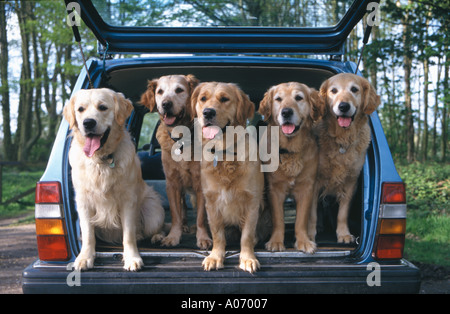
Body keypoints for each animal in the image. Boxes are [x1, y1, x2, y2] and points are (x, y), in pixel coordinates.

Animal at [63, 87, 165, 270]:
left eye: (103, 107)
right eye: (80, 109)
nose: (88, 123)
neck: (102, 160)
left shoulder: (128, 200)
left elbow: (128, 234)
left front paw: (132, 258)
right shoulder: (83, 202)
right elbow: (88, 234)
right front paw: (84, 258)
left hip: (153, 210)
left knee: (156, 228)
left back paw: (158, 236)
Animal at [140, 75, 212, 249]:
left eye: (179, 90)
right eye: (159, 91)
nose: (166, 104)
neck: (181, 138)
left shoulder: (200, 184)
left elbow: (201, 217)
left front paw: (203, 237)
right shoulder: (172, 183)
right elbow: (175, 214)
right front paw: (173, 236)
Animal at [192, 82, 268, 274]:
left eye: (225, 99)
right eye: (203, 98)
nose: (208, 112)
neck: (224, 153)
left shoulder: (252, 202)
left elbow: (246, 235)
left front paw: (248, 258)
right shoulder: (211, 203)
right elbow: (218, 234)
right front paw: (215, 257)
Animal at [256, 82, 320, 254]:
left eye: (298, 98)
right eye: (278, 99)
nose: (286, 112)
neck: (290, 150)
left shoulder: (306, 188)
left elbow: (301, 220)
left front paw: (303, 242)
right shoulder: (274, 189)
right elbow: (278, 219)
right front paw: (276, 242)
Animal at [312, 73, 382, 243]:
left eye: (354, 89)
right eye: (333, 91)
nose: (344, 106)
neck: (342, 139)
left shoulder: (351, 181)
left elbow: (342, 213)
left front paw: (343, 234)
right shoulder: (314, 180)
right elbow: (311, 213)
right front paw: (310, 233)